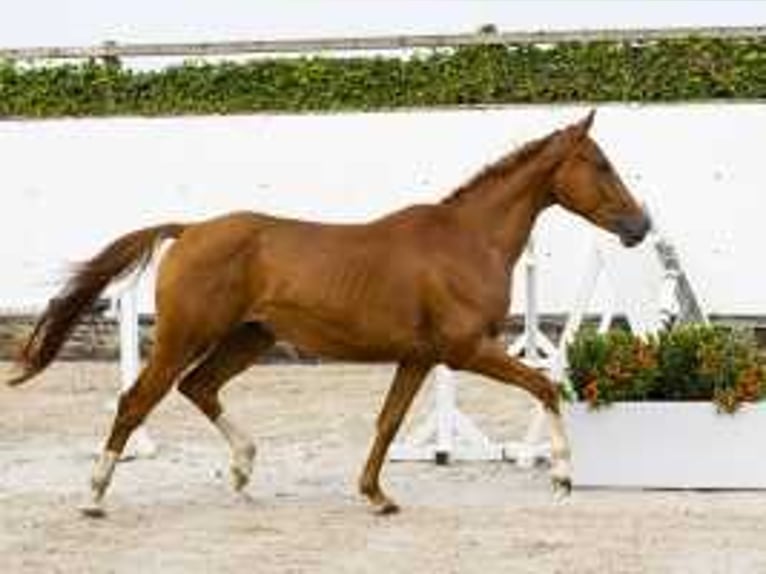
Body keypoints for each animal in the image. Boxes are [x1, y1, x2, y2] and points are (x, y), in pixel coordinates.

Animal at [9, 111, 652, 516]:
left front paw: (376, 495)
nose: (640, 226)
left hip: (248, 339)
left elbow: (388, 422)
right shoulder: (466, 350)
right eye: (600, 163)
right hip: (184, 336)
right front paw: (563, 475)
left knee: (199, 387)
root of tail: (190, 230)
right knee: (137, 401)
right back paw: (94, 496)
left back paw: (243, 473)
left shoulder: (419, 357)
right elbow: (545, 387)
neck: (467, 241)